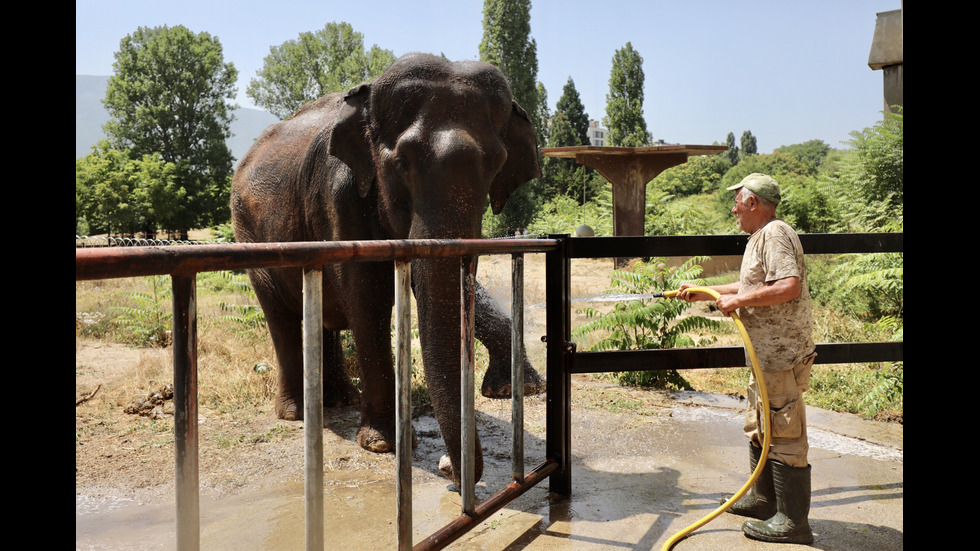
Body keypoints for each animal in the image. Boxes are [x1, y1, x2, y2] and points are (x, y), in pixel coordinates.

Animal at [234, 54, 548, 486]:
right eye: (401, 164)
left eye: (496, 165)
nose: (450, 470)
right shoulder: (339, 195)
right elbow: (368, 297)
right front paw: (383, 443)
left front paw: (521, 387)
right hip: (251, 237)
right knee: (282, 315)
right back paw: (296, 412)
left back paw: (339, 400)